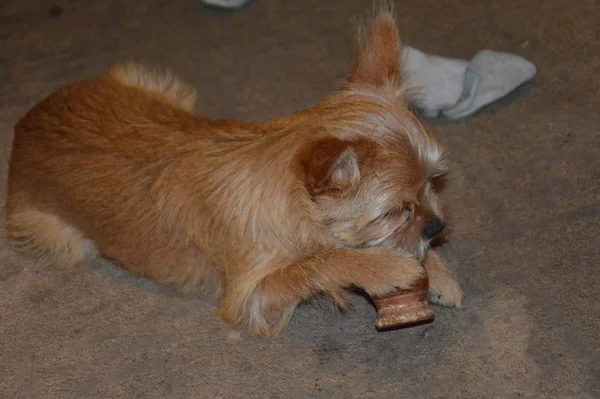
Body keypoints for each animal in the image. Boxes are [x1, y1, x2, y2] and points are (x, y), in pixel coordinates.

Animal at [4, 5, 462, 338]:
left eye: (432, 183)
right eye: (394, 211)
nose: (437, 226)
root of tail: (26, 123)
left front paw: (438, 271)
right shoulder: (250, 297)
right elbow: (318, 263)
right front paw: (381, 268)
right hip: (61, 237)